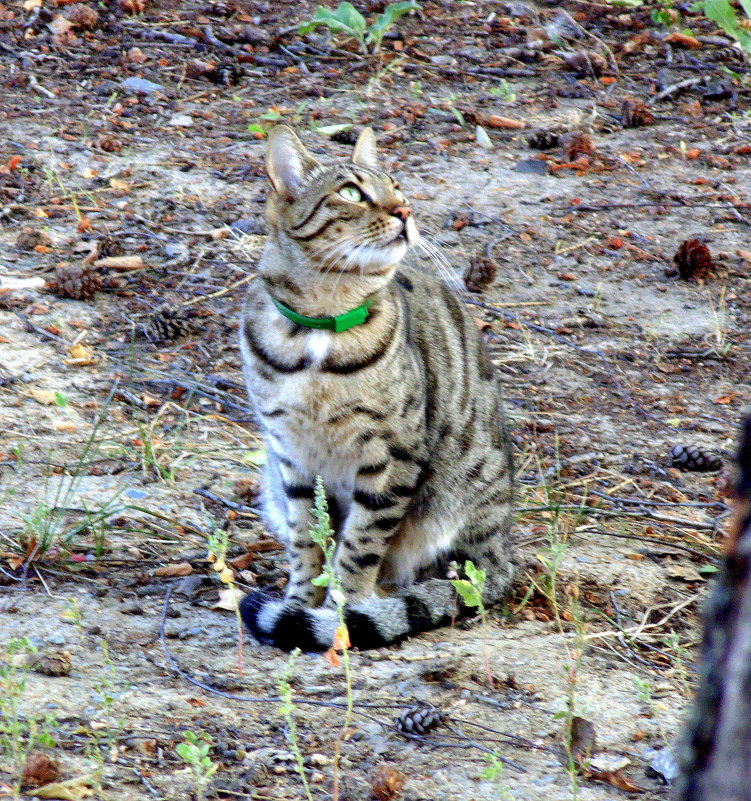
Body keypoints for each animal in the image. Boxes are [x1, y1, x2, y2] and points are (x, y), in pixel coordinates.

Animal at [238, 125, 516, 648]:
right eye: (350, 193)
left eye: (398, 188)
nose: (405, 212)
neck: (321, 325)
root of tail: (502, 549)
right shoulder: (291, 454)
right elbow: (308, 538)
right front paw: (301, 602)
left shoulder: (392, 453)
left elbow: (361, 543)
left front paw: (341, 613)